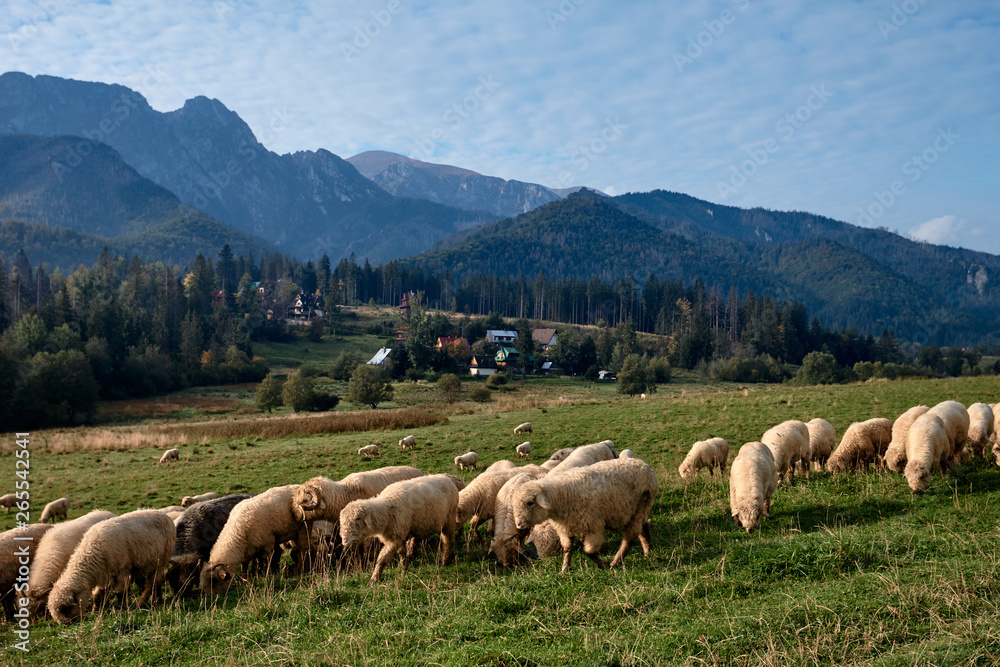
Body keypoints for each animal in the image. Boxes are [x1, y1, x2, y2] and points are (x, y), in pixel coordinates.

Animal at [47, 512, 175, 628]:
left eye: (66, 609)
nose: (67, 624)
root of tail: (165, 515)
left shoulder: (122, 570)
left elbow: (120, 592)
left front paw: (123, 610)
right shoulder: (104, 575)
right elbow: (98, 594)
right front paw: (95, 611)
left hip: (162, 561)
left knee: (151, 584)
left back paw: (145, 603)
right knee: (157, 582)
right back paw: (157, 601)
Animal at [512, 460, 660, 576]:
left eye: (530, 503)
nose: (518, 524)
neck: (563, 494)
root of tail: (644, 465)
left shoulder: (594, 526)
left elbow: (589, 551)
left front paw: (602, 564)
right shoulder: (566, 527)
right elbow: (567, 549)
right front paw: (565, 569)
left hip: (642, 504)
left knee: (629, 537)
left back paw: (616, 561)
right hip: (637, 510)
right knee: (643, 528)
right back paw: (647, 551)